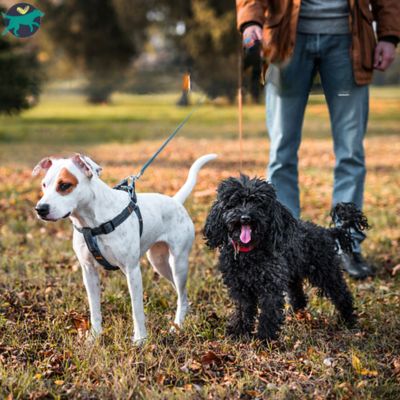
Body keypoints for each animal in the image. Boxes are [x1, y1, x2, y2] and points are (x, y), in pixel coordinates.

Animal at [32, 153, 217, 344]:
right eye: (44, 184)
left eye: (65, 185)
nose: (40, 209)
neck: (92, 223)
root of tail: (175, 201)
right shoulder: (88, 272)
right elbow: (94, 309)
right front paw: (95, 336)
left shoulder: (132, 270)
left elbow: (137, 309)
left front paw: (140, 339)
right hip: (159, 262)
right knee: (182, 295)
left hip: (179, 263)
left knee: (182, 294)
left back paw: (177, 326)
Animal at [203, 177, 368, 342]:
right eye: (235, 202)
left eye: (258, 204)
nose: (245, 217)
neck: (249, 253)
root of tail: (327, 232)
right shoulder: (241, 288)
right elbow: (243, 311)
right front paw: (239, 333)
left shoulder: (271, 287)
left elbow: (268, 313)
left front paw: (265, 338)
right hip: (294, 276)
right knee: (299, 297)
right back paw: (297, 315)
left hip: (326, 272)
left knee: (341, 294)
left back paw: (348, 320)